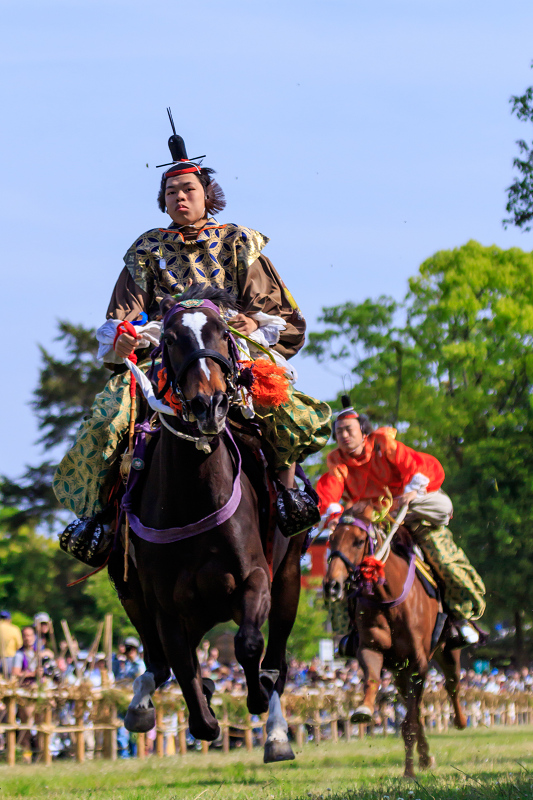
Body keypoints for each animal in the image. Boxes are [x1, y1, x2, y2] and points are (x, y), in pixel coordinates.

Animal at [109, 288, 304, 764]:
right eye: (171, 339)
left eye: (221, 333)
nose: (208, 405)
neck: (194, 498)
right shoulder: (164, 604)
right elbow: (183, 667)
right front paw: (208, 714)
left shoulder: (255, 578)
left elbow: (248, 645)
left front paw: (255, 697)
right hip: (133, 591)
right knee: (157, 662)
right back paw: (145, 704)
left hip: (290, 577)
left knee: (277, 660)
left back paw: (275, 733)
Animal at [320, 506, 466, 776]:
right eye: (331, 540)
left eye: (358, 541)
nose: (332, 585)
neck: (388, 599)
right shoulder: (372, 649)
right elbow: (373, 679)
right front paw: (364, 710)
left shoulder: (419, 663)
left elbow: (410, 721)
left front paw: (409, 773)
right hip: (399, 671)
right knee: (415, 706)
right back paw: (425, 757)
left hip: (447, 651)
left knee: (451, 684)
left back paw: (459, 722)